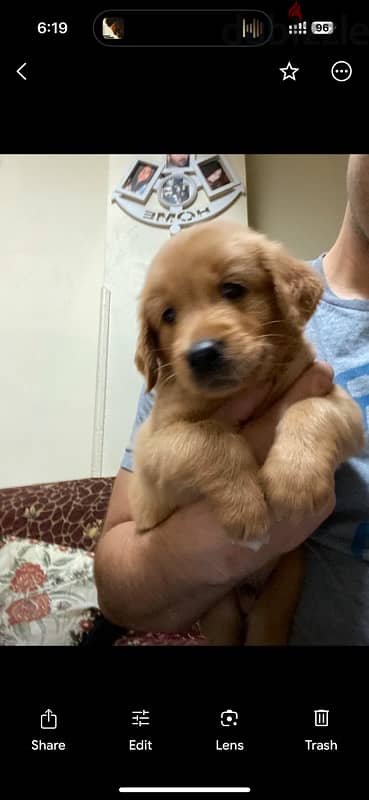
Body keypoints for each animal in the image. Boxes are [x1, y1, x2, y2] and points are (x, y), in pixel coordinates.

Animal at [128, 219, 364, 644]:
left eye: (232, 289)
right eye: (168, 315)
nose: (202, 353)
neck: (245, 386)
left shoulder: (338, 400)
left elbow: (310, 408)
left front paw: (294, 480)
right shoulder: (153, 450)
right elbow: (208, 436)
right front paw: (246, 507)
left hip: (283, 585)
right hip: (218, 608)